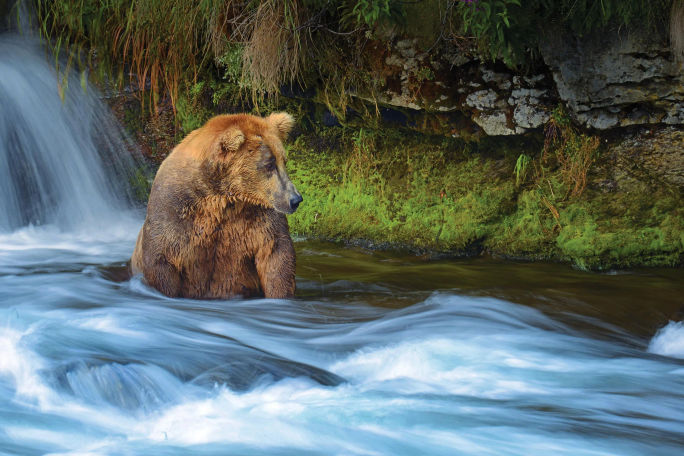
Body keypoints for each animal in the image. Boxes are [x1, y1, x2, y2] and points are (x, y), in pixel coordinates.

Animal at [130, 112, 302, 299]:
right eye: (269, 164)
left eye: (283, 161)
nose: (295, 199)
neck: (223, 197)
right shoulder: (174, 211)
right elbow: (161, 260)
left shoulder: (259, 217)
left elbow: (276, 255)